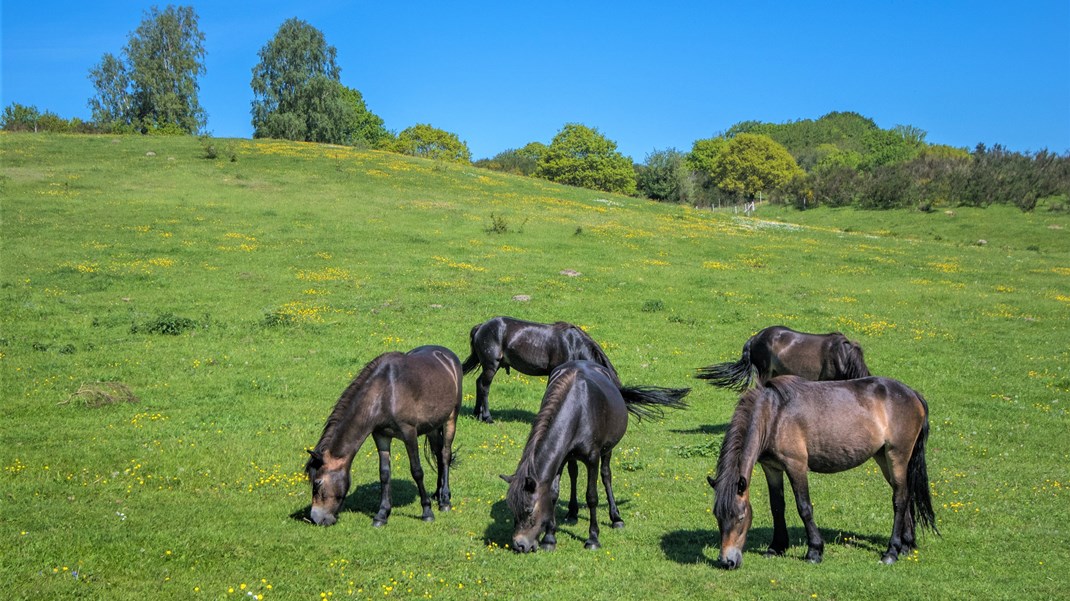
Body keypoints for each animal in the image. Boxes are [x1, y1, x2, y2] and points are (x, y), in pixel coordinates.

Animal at [306, 346, 464, 524]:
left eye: (318, 483)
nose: (315, 518)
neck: (385, 392)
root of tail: (447, 356)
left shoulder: (409, 433)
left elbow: (417, 471)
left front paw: (427, 511)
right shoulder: (381, 436)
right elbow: (384, 474)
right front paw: (382, 514)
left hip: (451, 418)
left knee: (445, 455)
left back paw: (445, 500)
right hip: (432, 426)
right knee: (437, 454)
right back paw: (438, 494)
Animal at [460, 314, 620, 421]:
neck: (573, 344)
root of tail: (481, 327)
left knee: (479, 383)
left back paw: (477, 413)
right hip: (491, 365)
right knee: (484, 387)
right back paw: (487, 417)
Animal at [498, 357, 689, 551]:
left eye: (529, 510)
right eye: (512, 510)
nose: (519, 545)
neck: (577, 409)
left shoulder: (593, 458)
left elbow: (592, 497)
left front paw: (593, 538)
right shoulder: (560, 459)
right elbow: (552, 495)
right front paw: (549, 538)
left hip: (607, 450)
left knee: (606, 476)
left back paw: (616, 518)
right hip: (571, 457)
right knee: (574, 474)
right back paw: (572, 513)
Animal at [710, 374, 937, 564]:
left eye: (740, 517)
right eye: (718, 517)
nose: (727, 561)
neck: (773, 414)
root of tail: (913, 394)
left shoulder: (796, 465)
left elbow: (804, 507)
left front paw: (814, 551)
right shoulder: (772, 468)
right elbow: (777, 506)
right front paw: (776, 547)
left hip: (897, 456)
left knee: (899, 500)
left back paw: (891, 552)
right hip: (884, 459)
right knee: (906, 495)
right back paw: (906, 545)